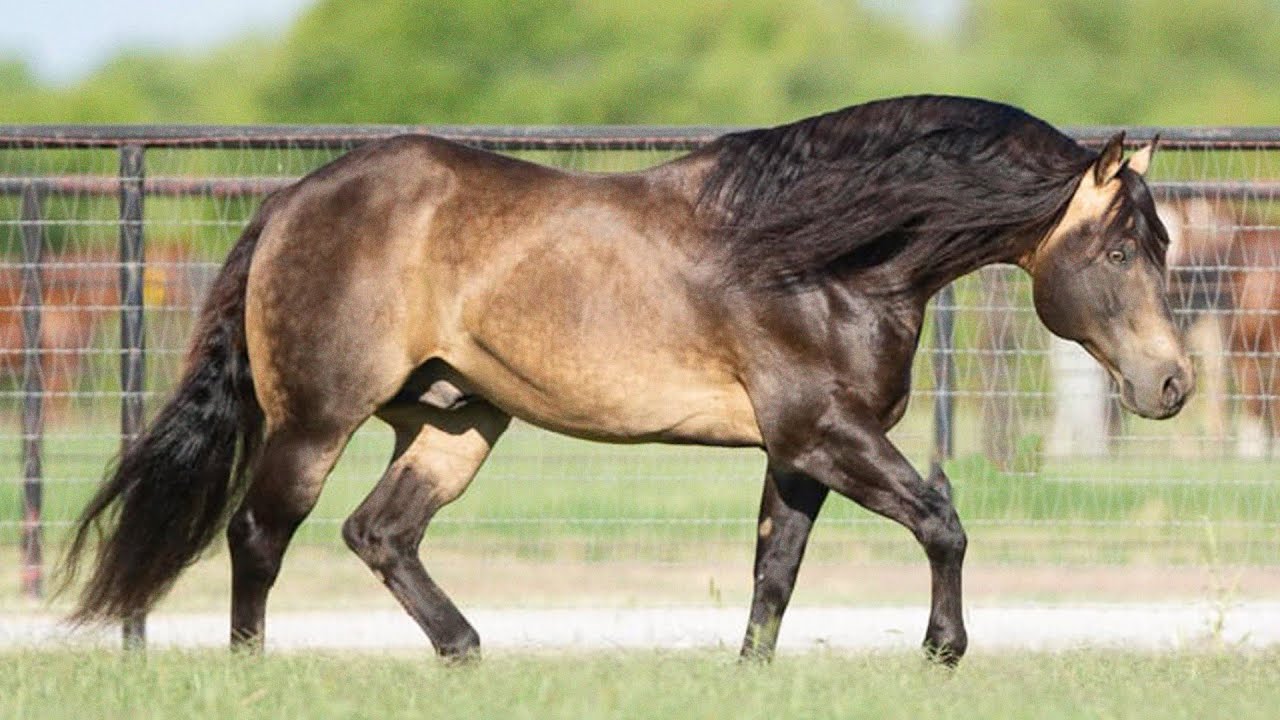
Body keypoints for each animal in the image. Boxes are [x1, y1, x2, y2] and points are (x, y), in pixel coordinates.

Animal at [61, 95, 1190, 666]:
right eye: (1120, 251)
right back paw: (253, 675)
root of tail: (294, 200)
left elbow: (773, 572)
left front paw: (749, 678)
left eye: (1163, 244)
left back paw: (467, 652)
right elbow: (943, 520)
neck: (822, 257)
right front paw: (942, 649)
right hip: (314, 421)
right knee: (261, 537)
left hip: (457, 422)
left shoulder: (798, 452)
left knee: (379, 533)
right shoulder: (825, 432)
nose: (1172, 387)